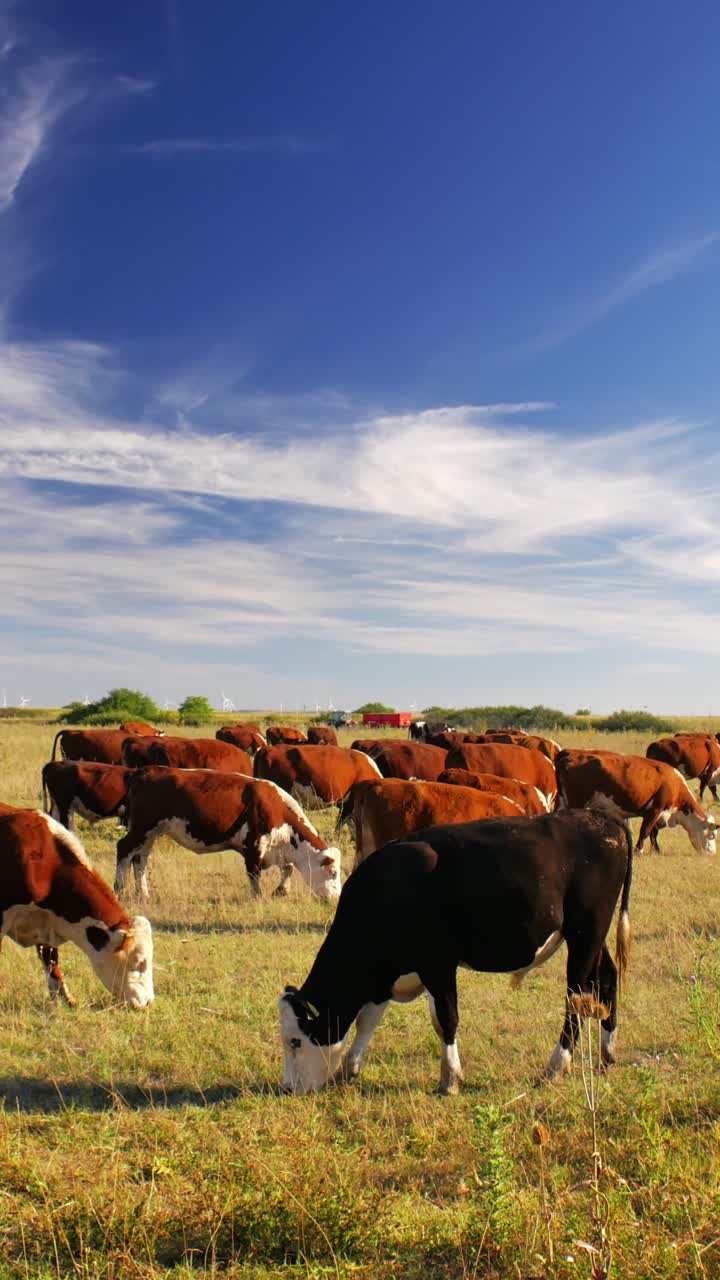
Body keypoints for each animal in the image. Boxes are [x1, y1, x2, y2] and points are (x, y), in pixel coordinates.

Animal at [115, 768, 342, 901]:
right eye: (333, 872)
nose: (336, 897)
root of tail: (145, 771)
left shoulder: (277, 850)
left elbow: (288, 869)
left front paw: (281, 891)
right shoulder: (253, 846)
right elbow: (254, 874)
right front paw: (257, 897)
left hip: (150, 833)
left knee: (140, 859)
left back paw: (143, 894)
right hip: (142, 828)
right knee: (124, 849)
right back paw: (119, 889)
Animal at [279, 810, 632, 1095]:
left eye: (295, 1040)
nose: (287, 1088)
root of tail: (599, 818)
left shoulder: (438, 964)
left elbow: (447, 1019)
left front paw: (449, 1078)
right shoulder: (387, 975)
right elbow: (369, 1021)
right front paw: (349, 1067)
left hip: (586, 933)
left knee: (576, 998)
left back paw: (556, 1066)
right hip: (590, 938)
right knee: (606, 980)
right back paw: (607, 1052)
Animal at [556, 750, 716, 854]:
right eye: (712, 835)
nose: (712, 853)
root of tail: (569, 753)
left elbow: (653, 833)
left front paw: (656, 850)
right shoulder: (655, 810)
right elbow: (645, 831)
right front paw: (639, 851)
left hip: (562, 801)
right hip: (576, 802)